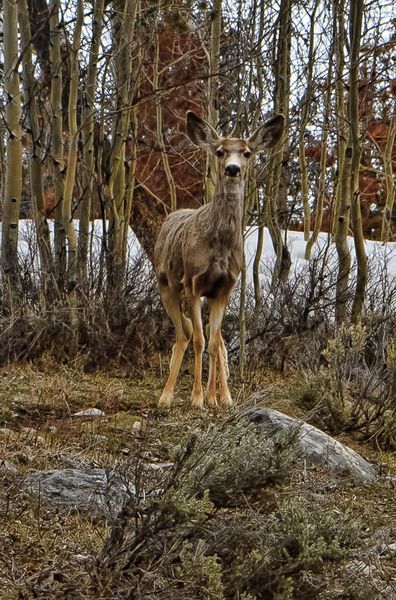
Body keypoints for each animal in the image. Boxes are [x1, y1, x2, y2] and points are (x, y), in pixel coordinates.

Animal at [152, 109, 284, 408]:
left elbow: (213, 342)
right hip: (166, 286)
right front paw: (196, 398)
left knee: (216, 339)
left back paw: (222, 395)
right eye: (221, 151)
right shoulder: (193, 283)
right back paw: (166, 396)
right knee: (183, 335)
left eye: (247, 152)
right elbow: (200, 341)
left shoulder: (225, 288)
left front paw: (217, 399)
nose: (232, 169)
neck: (220, 246)